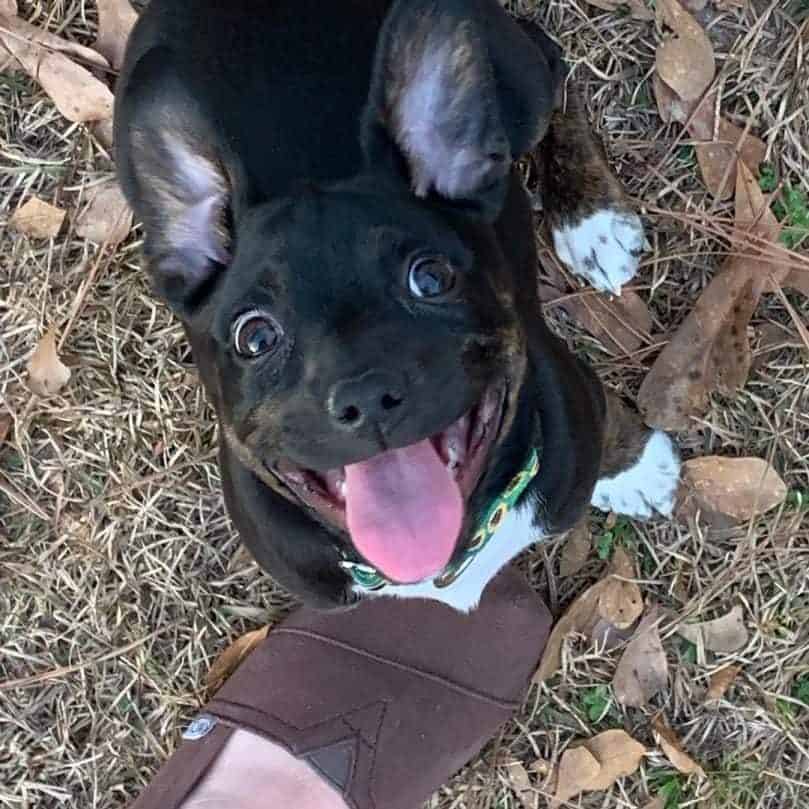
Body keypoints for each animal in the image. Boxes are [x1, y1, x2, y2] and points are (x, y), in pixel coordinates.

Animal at [115, 0, 680, 608]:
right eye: (255, 336)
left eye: (429, 279)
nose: (366, 397)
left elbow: (612, 424)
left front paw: (638, 468)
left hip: (520, 81)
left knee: (552, 74)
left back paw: (593, 220)